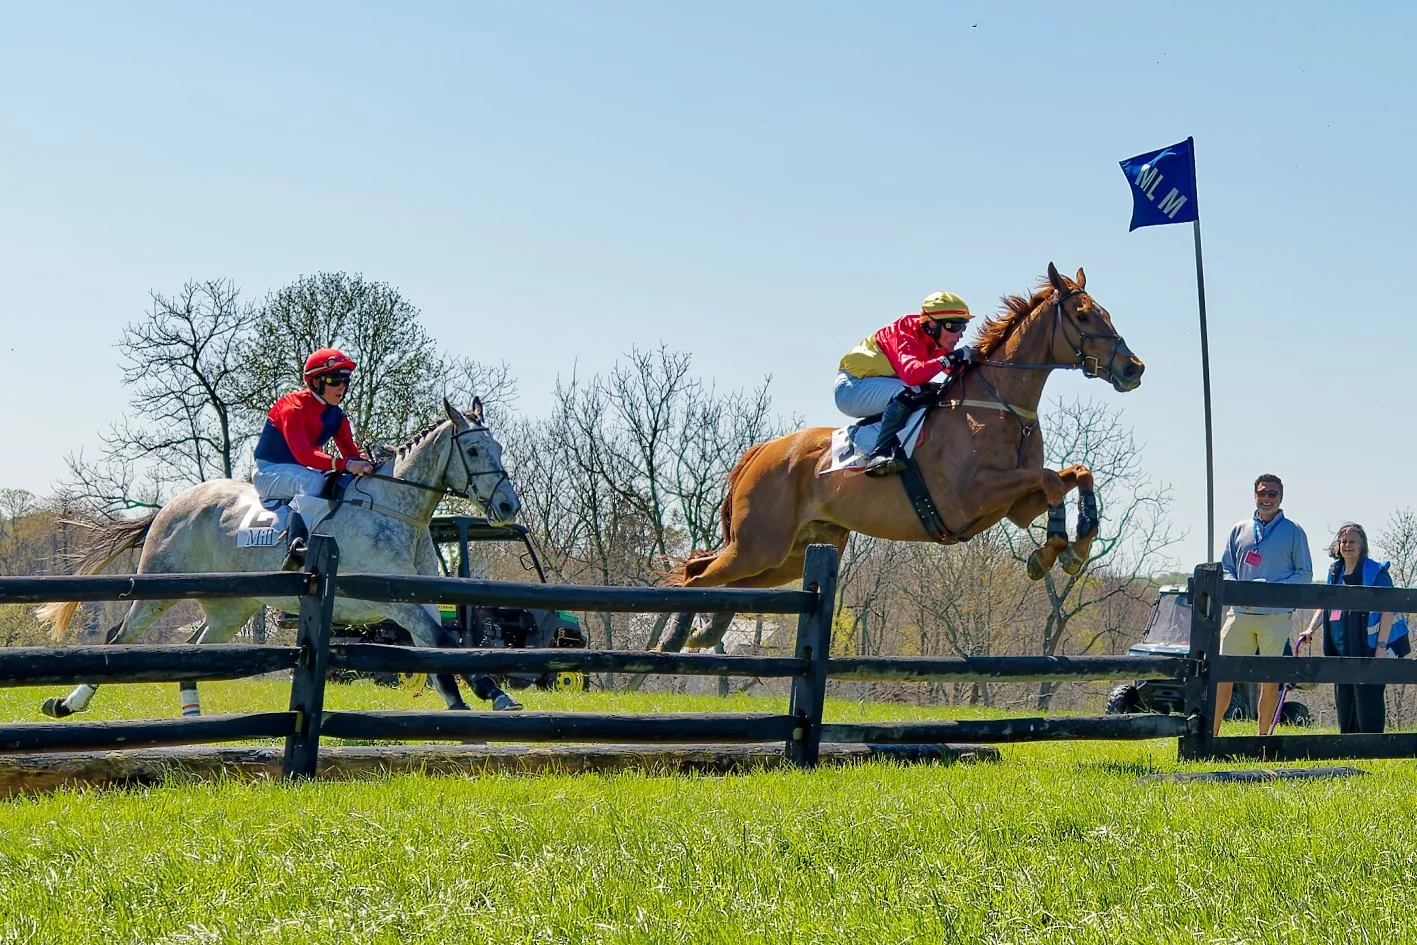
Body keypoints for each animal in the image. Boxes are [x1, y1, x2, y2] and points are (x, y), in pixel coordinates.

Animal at [36, 398, 523, 717]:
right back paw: (67, 703)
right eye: (474, 451)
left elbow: (439, 652)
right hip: (161, 586)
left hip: (231, 608)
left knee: (194, 648)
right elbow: (445, 646)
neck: (394, 508)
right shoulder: (392, 604)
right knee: (120, 636)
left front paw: (464, 702)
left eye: (499, 449)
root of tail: (171, 505)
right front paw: (492, 692)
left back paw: (191, 709)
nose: (508, 506)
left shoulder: (419, 603)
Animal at [658, 263, 1144, 652]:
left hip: (788, 554)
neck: (1001, 406)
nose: (1133, 368)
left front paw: (1073, 547)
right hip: (759, 544)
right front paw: (1052, 551)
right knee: (697, 576)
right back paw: (672, 638)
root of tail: (763, 450)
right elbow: (1049, 478)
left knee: (715, 575)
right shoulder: (972, 495)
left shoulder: (1014, 506)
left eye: (1106, 313)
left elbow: (1076, 473)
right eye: (1083, 315)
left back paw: (704, 631)